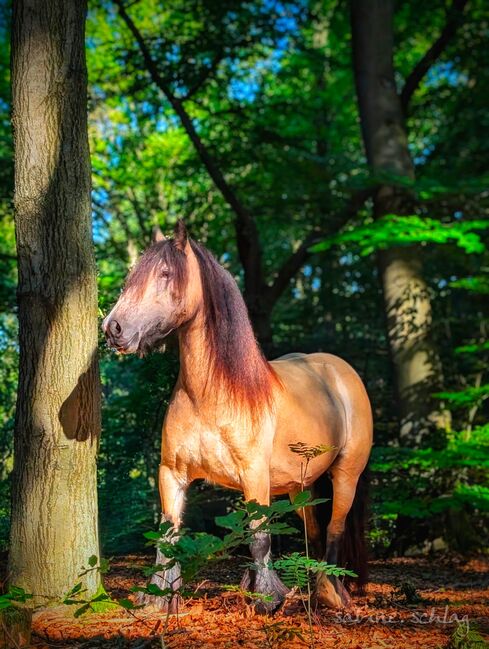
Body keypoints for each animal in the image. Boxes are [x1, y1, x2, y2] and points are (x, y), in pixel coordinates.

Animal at [102, 220, 370, 612]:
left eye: (165, 273)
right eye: (133, 275)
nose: (113, 328)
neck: (209, 396)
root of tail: (341, 372)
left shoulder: (254, 477)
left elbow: (260, 538)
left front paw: (267, 599)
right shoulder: (171, 474)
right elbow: (167, 537)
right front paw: (158, 598)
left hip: (346, 475)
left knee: (335, 528)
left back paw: (331, 593)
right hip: (300, 488)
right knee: (315, 531)